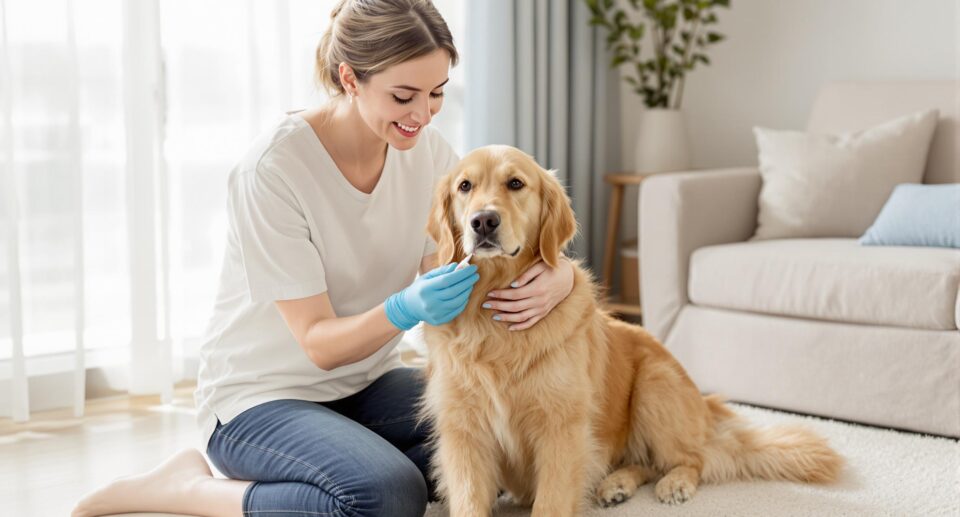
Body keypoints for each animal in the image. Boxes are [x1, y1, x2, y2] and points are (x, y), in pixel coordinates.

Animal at [420, 145, 840, 516]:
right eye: (464, 186)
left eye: (515, 183)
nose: (483, 222)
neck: (493, 321)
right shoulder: (463, 432)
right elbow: (469, 501)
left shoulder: (561, 430)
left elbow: (551, 502)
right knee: (646, 462)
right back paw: (616, 484)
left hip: (655, 385)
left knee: (696, 458)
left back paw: (674, 483)